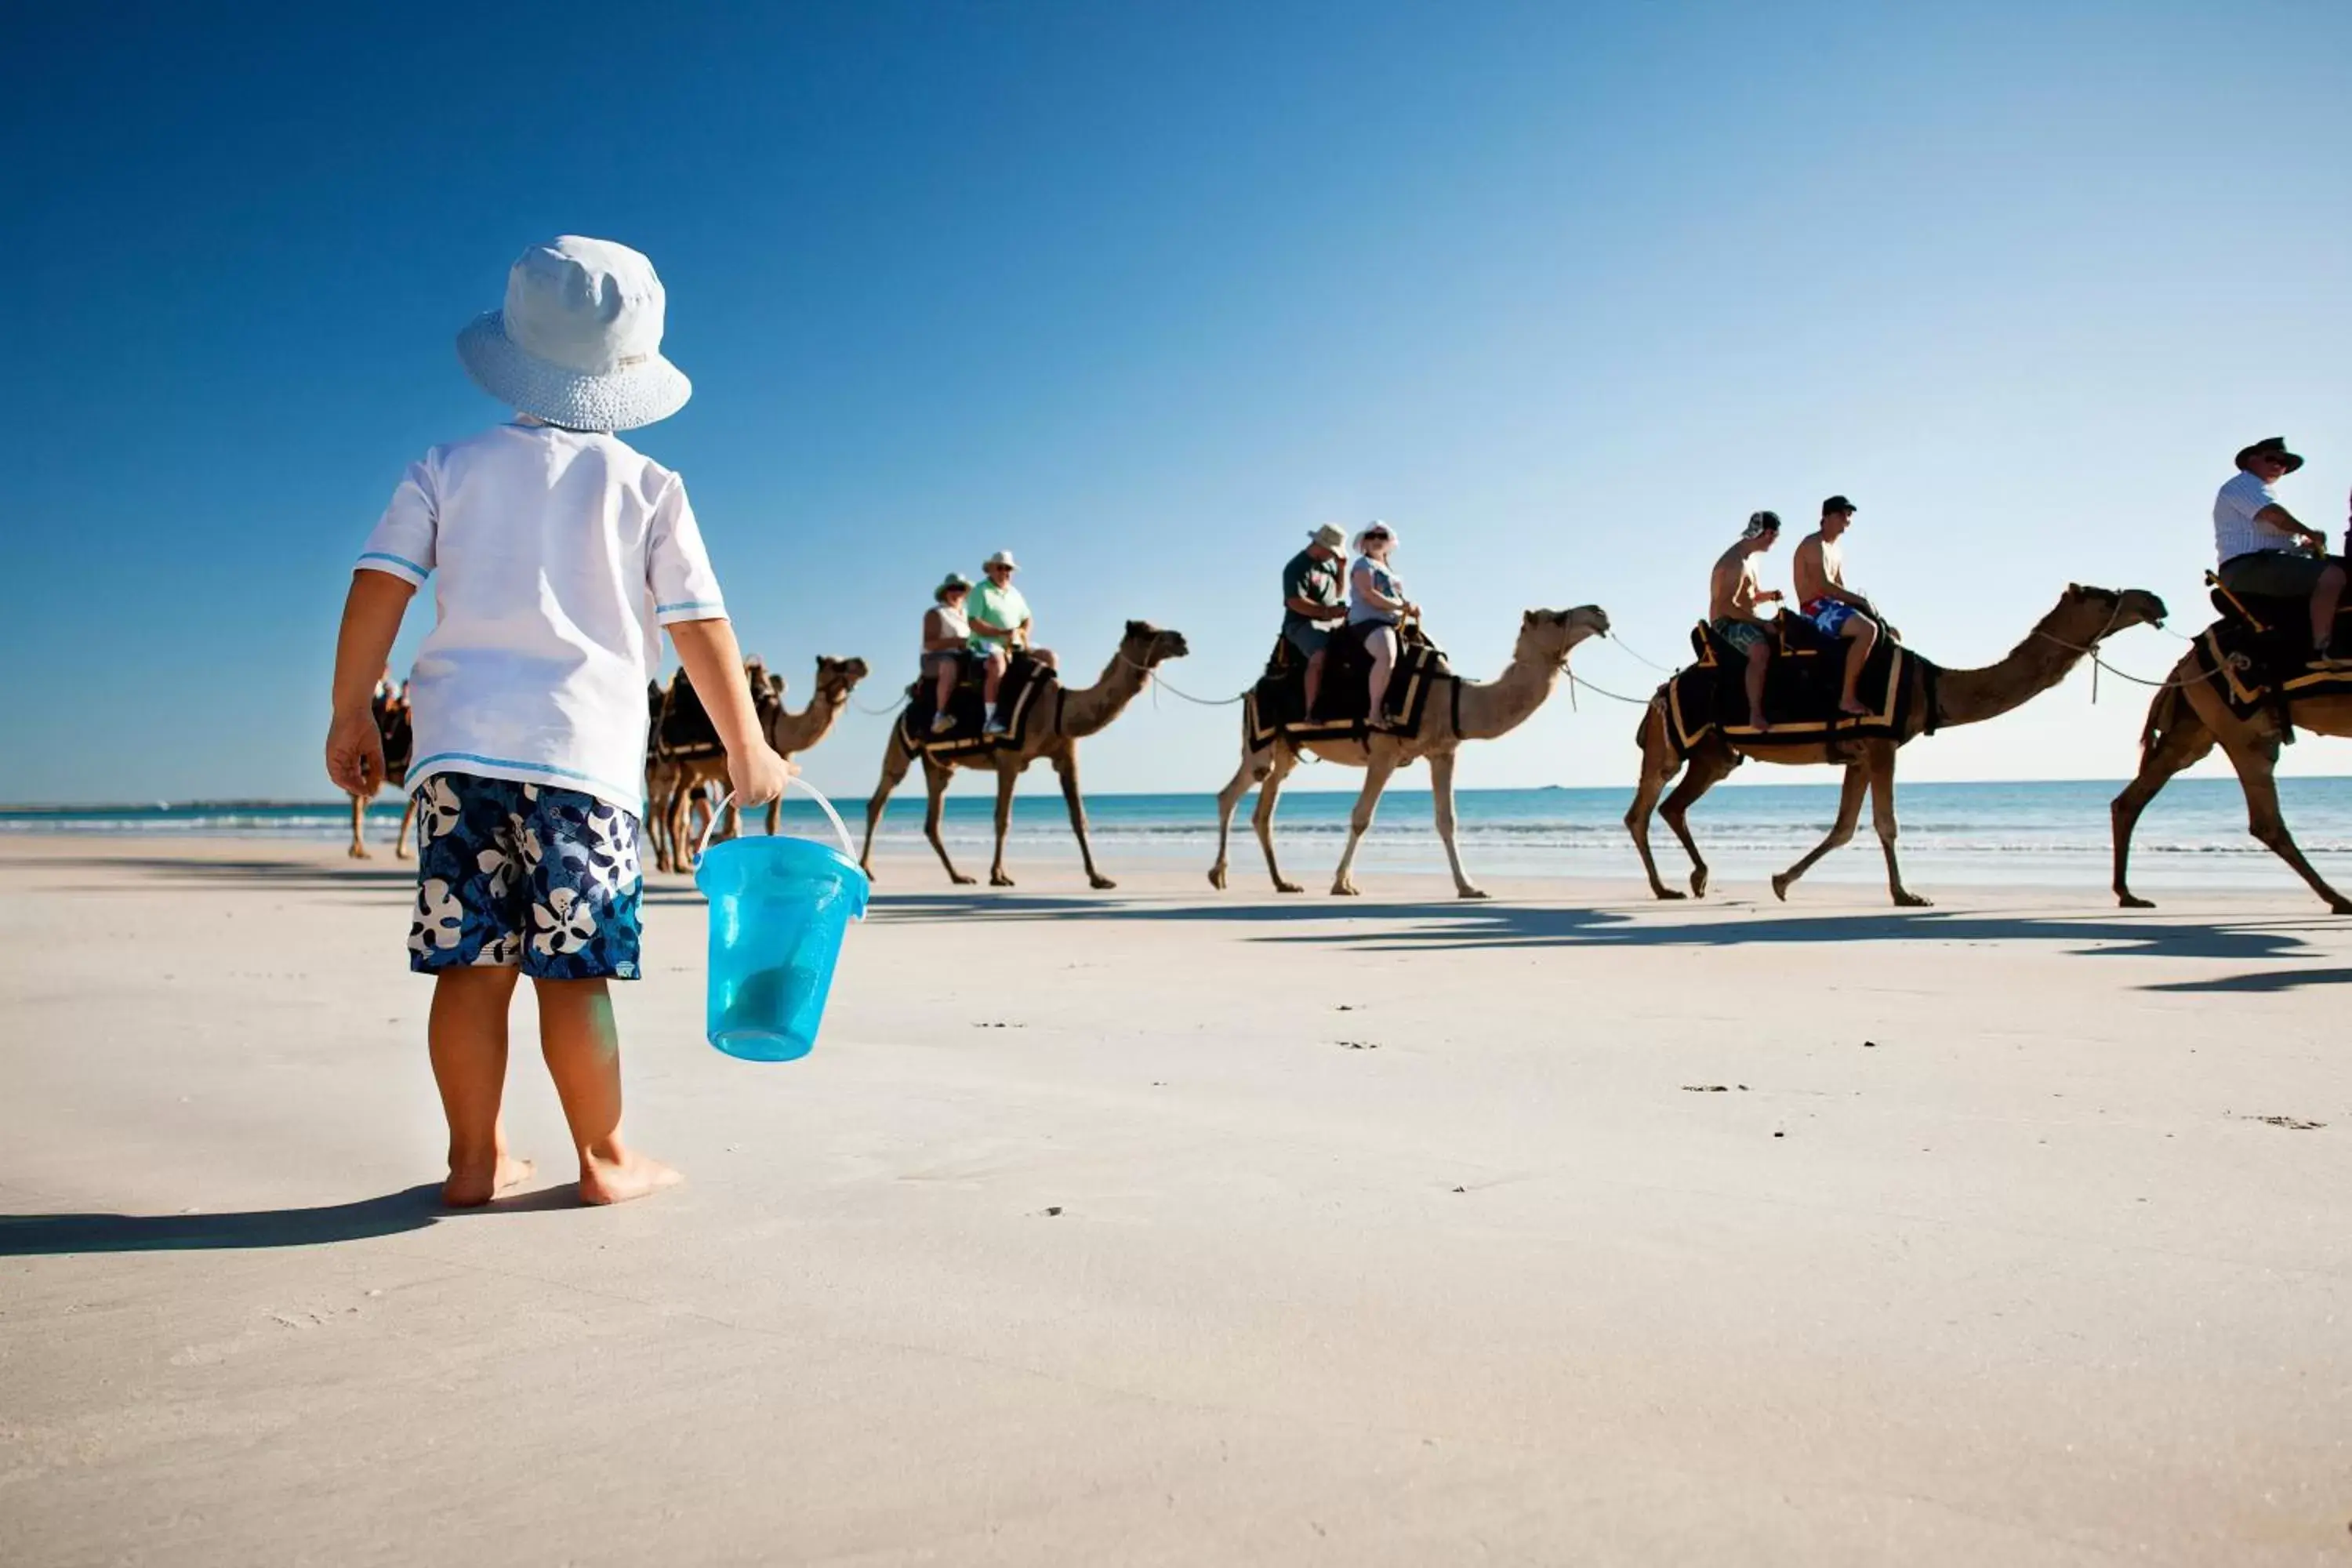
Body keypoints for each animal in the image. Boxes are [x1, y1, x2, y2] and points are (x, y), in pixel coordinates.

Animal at [861, 625, 1195, 893]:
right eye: (1148, 633)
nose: (1181, 639)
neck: (1058, 708)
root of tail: (910, 701)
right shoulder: (1009, 759)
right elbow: (1002, 818)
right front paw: (999, 875)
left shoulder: (1065, 754)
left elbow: (1079, 817)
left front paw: (1098, 878)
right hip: (902, 739)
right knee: (881, 796)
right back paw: (867, 869)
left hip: (939, 764)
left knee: (932, 819)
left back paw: (958, 876)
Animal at [1214, 611, 1618, 902]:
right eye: (1557, 618)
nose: (1599, 613)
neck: (1450, 699)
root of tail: (1251, 690)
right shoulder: (1384, 753)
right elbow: (1361, 817)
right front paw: (1342, 884)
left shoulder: (1442, 752)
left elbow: (1447, 820)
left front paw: (1469, 887)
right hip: (1259, 742)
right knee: (1230, 794)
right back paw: (1218, 875)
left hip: (1286, 749)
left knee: (1263, 810)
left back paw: (1282, 883)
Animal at [1637, 585, 2164, 907]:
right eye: (2105, 597)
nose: (2153, 602)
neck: (1930, 685)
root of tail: (1662, 689)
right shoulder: (1882, 744)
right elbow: (1885, 824)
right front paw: (1907, 895)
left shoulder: (1859, 753)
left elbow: (1844, 827)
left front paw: (1782, 882)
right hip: (1671, 741)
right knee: (1643, 810)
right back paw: (1666, 889)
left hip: (1715, 755)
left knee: (1672, 807)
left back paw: (1696, 879)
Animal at [2126, 653, 2352, 912]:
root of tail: (2184, 664)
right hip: (2243, 729)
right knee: (2266, 822)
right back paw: (2338, 899)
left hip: (2198, 728)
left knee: (2133, 797)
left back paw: (2127, 896)